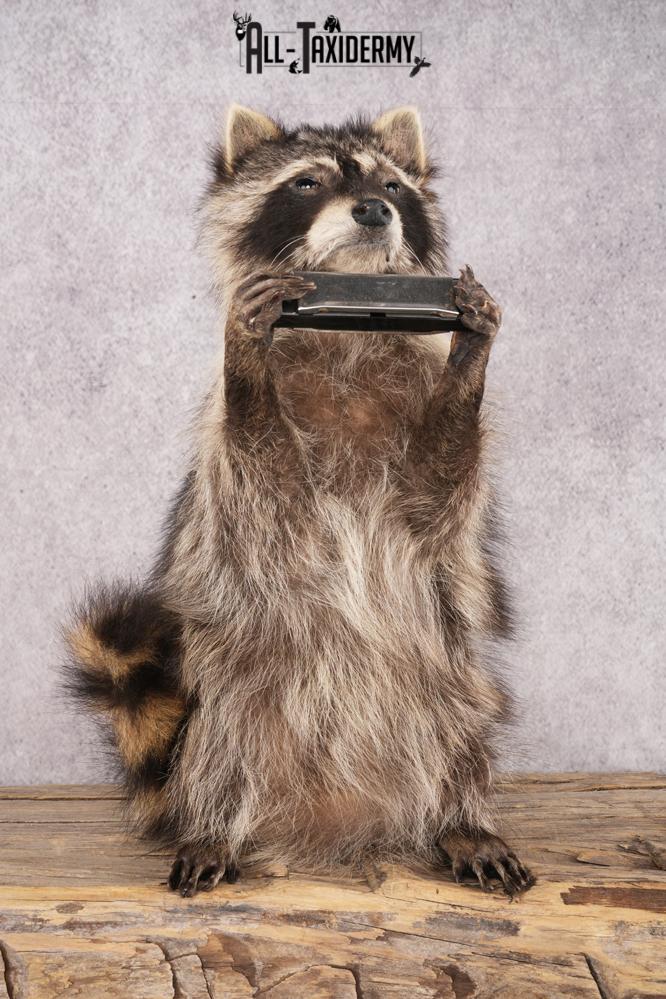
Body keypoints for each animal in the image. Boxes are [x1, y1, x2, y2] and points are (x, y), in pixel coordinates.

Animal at [64, 105, 535, 898]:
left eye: (391, 185)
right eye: (307, 182)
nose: (373, 208)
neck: (349, 321)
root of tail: (333, 817)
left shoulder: (421, 441)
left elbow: (437, 491)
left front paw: (472, 351)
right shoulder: (235, 473)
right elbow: (264, 478)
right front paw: (245, 348)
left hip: (444, 675)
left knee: (460, 723)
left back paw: (462, 818)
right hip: (234, 686)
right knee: (224, 740)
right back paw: (215, 825)